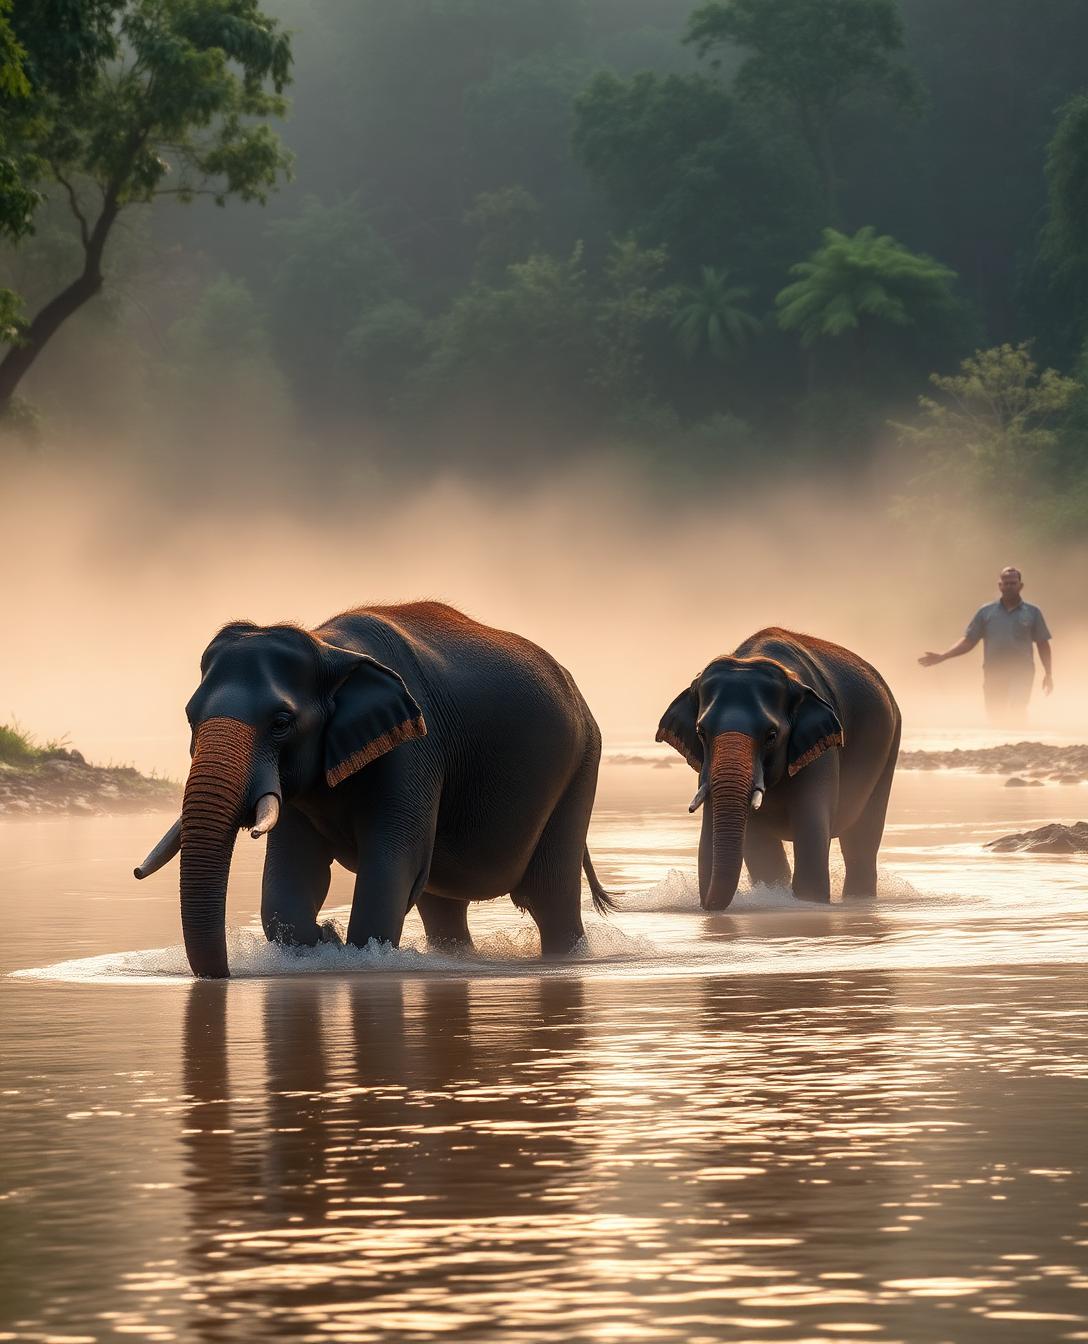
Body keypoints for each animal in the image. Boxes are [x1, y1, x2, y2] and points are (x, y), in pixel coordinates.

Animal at [135, 601, 613, 978]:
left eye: (281, 723)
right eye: (190, 717)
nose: (136, 872)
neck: (328, 647)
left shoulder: (415, 749)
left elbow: (391, 866)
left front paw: (347, 949)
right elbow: (293, 876)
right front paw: (322, 941)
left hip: (581, 768)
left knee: (549, 897)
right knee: (443, 907)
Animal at [656, 627, 900, 909]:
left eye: (771, 735)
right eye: (701, 732)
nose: (705, 904)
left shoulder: (822, 750)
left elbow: (811, 827)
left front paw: (809, 902)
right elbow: (757, 845)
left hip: (889, 746)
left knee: (861, 842)